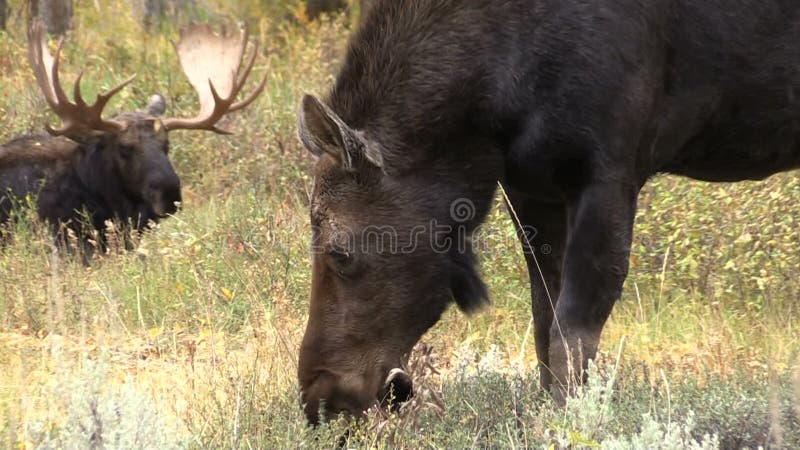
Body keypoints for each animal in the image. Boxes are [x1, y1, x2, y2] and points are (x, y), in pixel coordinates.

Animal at [296, 0, 800, 426]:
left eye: (339, 252)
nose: (319, 396)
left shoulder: (609, 174)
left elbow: (572, 332)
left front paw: (566, 420)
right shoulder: (530, 188)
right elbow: (543, 319)